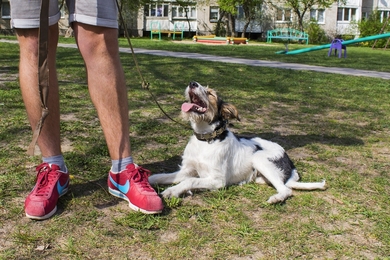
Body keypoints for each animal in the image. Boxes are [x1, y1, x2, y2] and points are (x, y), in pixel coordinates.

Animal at [149, 81, 326, 203]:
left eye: (211, 93)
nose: (192, 83)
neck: (206, 140)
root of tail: (290, 161)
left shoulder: (217, 180)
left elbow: (190, 180)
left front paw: (172, 191)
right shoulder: (187, 169)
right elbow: (162, 176)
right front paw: (148, 180)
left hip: (259, 158)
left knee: (286, 190)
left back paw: (276, 198)